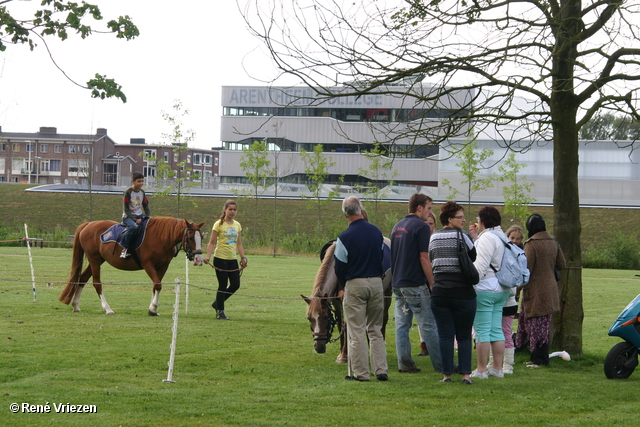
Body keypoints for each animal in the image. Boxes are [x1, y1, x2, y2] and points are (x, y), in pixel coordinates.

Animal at [59, 217, 205, 314]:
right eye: (190, 237)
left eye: (202, 238)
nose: (198, 258)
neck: (161, 237)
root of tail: (88, 224)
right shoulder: (148, 265)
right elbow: (158, 285)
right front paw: (153, 308)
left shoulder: (163, 266)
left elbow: (155, 285)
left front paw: (152, 308)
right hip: (94, 259)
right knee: (96, 283)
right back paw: (107, 308)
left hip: (98, 260)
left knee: (82, 278)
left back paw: (76, 305)